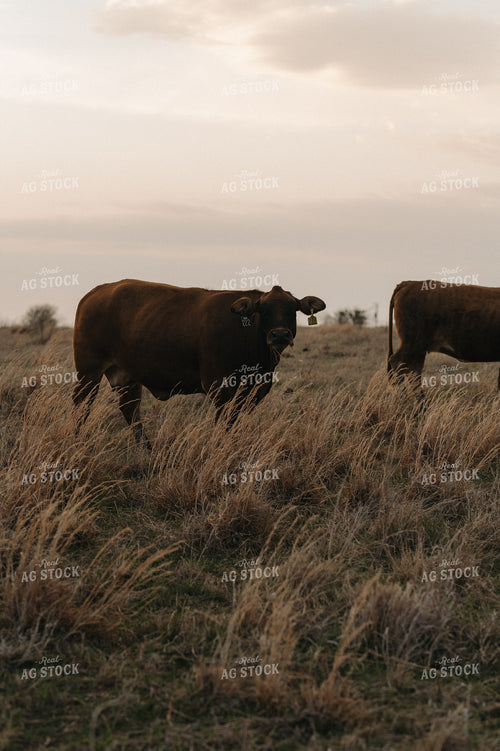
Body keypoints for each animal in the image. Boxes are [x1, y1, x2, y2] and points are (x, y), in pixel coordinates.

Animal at [72, 280, 325, 449]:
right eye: (263, 310)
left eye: (292, 309)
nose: (280, 335)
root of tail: (98, 291)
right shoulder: (220, 386)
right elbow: (226, 421)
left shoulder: (257, 386)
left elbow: (238, 420)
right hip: (88, 371)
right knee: (82, 405)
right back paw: (78, 442)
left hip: (127, 375)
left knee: (130, 409)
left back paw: (146, 449)